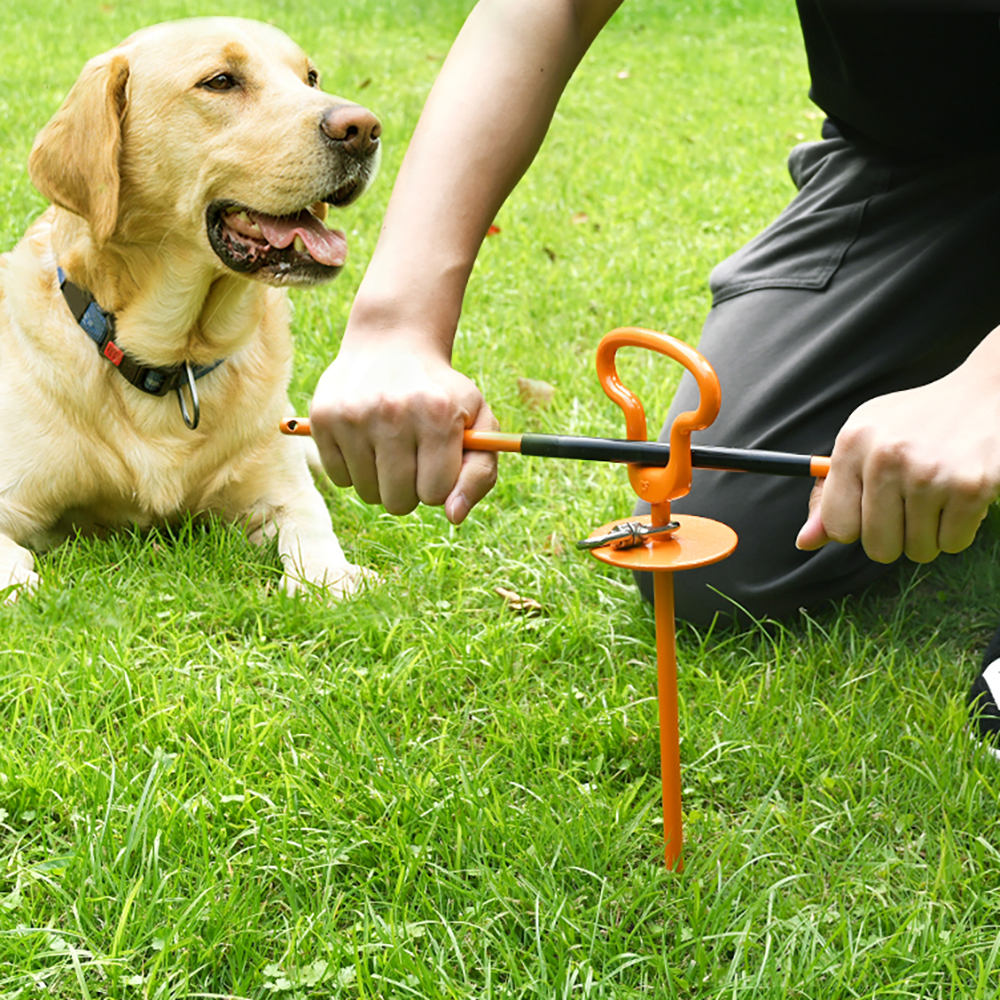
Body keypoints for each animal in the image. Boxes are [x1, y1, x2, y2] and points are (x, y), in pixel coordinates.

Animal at [0, 17, 382, 600]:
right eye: (221, 81)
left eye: (311, 77)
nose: (364, 128)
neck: (170, 362)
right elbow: (17, 569)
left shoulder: (280, 488)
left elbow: (313, 529)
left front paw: (334, 578)